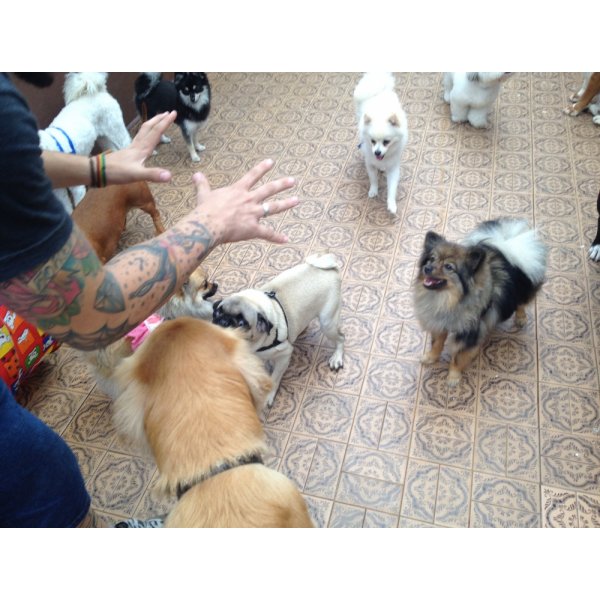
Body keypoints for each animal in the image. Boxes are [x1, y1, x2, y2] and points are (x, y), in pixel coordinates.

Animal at [38, 72, 131, 213]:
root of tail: (99, 90)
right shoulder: (58, 191)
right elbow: (67, 208)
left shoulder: (76, 187)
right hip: (103, 138)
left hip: (115, 128)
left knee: (127, 143)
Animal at [354, 72, 410, 216]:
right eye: (373, 141)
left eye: (386, 142)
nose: (377, 152)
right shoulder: (370, 163)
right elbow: (373, 179)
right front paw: (373, 190)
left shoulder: (393, 167)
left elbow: (392, 187)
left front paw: (391, 204)